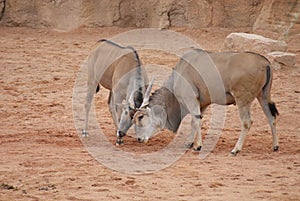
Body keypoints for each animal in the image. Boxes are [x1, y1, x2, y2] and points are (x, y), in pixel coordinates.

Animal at [134, 49, 278, 155]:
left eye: (140, 117)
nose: (139, 139)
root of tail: (265, 62)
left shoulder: (191, 99)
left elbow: (196, 120)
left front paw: (198, 146)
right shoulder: (202, 104)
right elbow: (194, 122)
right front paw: (189, 143)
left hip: (242, 100)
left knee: (247, 122)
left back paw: (235, 149)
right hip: (263, 96)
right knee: (271, 117)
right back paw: (275, 146)